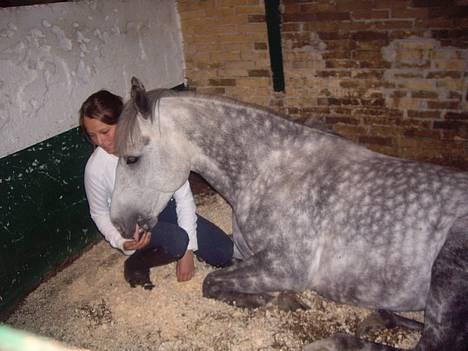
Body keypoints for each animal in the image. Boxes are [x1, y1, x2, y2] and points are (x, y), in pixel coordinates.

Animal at [111, 77, 466, 351]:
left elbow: (211, 283)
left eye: (131, 159)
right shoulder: (247, 253)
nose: (118, 222)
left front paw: (266, 299)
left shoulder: (284, 267)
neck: (273, 172)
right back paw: (381, 317)